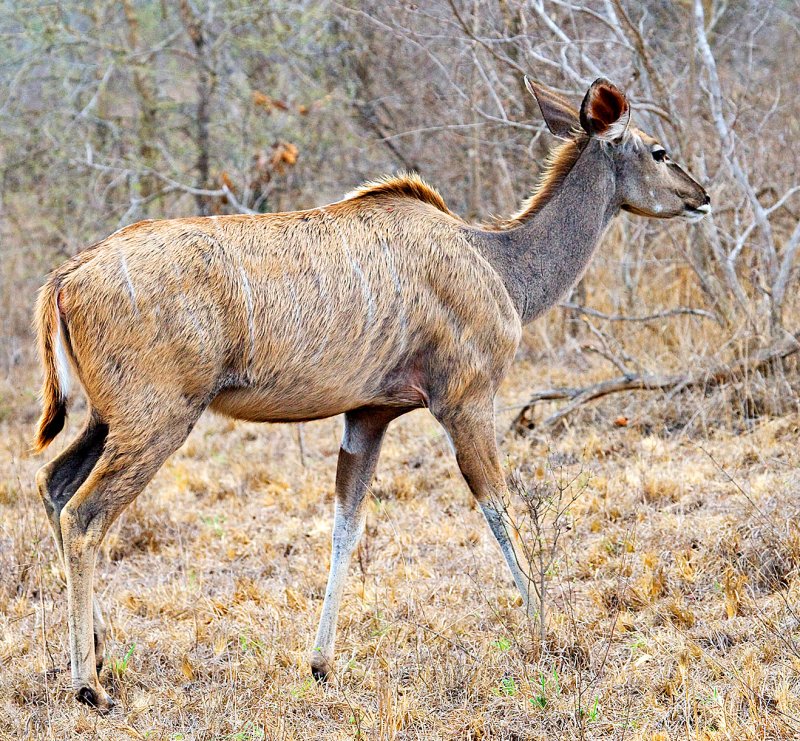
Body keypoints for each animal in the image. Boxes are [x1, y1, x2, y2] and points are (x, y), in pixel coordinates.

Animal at [34, 78, 708, 708]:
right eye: (659, 150)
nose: (701, 196)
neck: (498, 264)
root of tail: (66, 278)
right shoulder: (464, 401)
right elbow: (497, 509)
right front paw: (550, 634)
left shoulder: (369, 414)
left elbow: (345, 525)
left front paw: (321, 663)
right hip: (159, 419)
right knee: (85, 515)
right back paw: (89, 684)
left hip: (109, 421)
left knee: (54, 485)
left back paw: (100, 652)